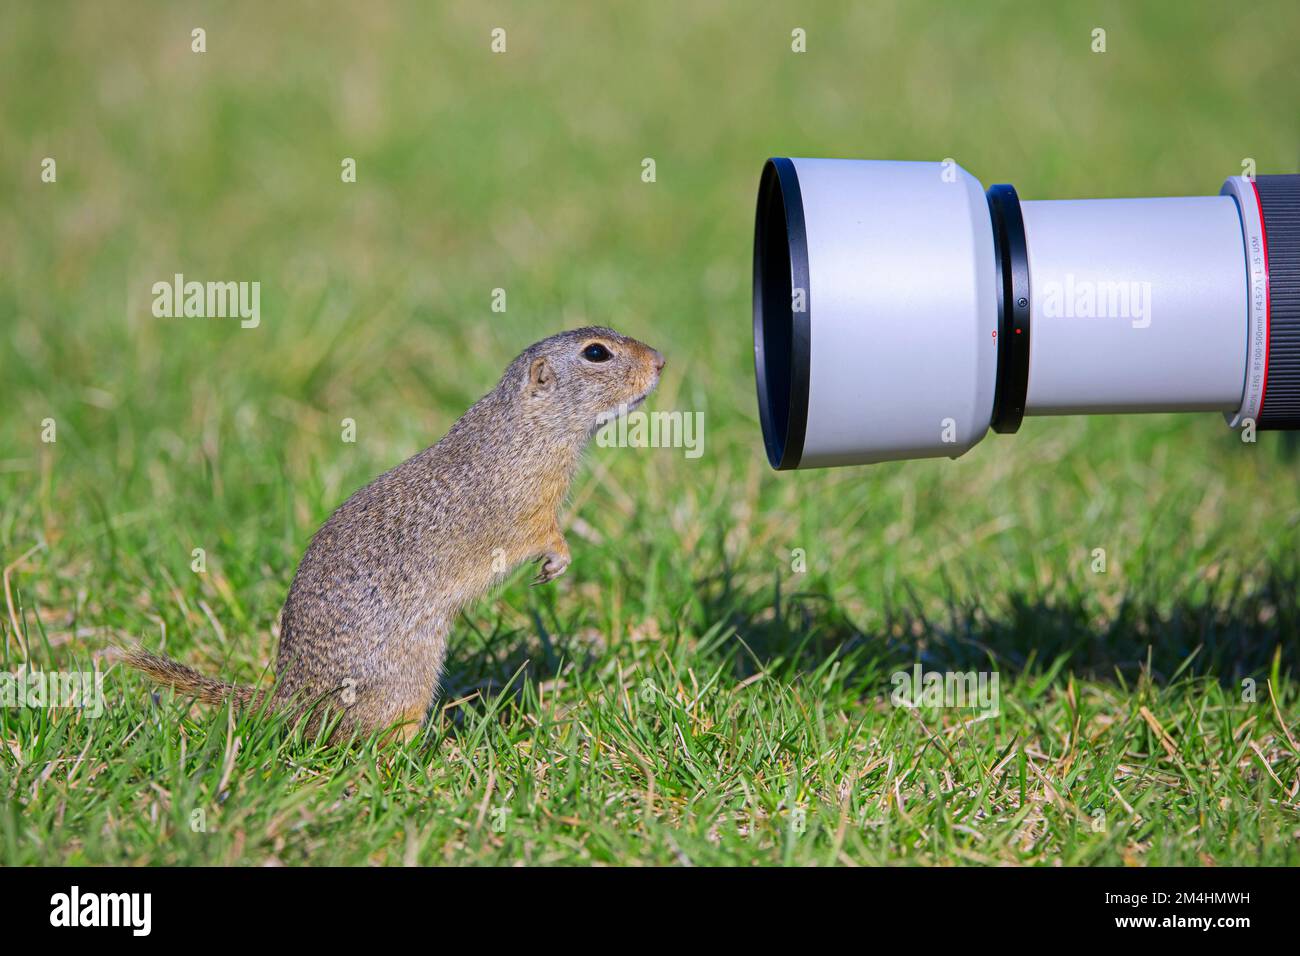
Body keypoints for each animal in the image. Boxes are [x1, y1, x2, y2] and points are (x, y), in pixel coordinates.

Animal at [126, 327, 665, 738]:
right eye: (596, 353)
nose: (661, 360)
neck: (526, 427)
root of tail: (290, 699)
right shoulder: (529, 507)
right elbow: (544, 534)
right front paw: (558, 560)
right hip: (405, 685)